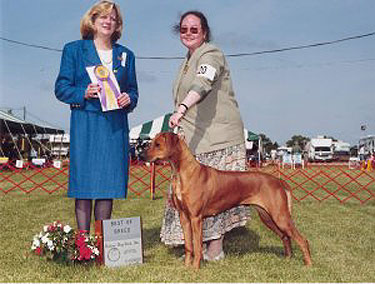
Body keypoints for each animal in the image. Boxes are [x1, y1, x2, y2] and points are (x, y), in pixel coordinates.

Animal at [145, 133, 312, 268]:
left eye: (158, 144)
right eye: (151, 143)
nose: (142, 155)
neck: (183, 172)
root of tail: (278, 181)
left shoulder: (196, 218)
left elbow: (197, 247)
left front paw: (195, 269)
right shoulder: (184, 217)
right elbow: (188, 246)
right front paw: (186, 267)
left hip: (280, 216)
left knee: (303, 240)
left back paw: (308, 264)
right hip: (268, 217)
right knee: (285, 236)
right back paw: (288, 259)